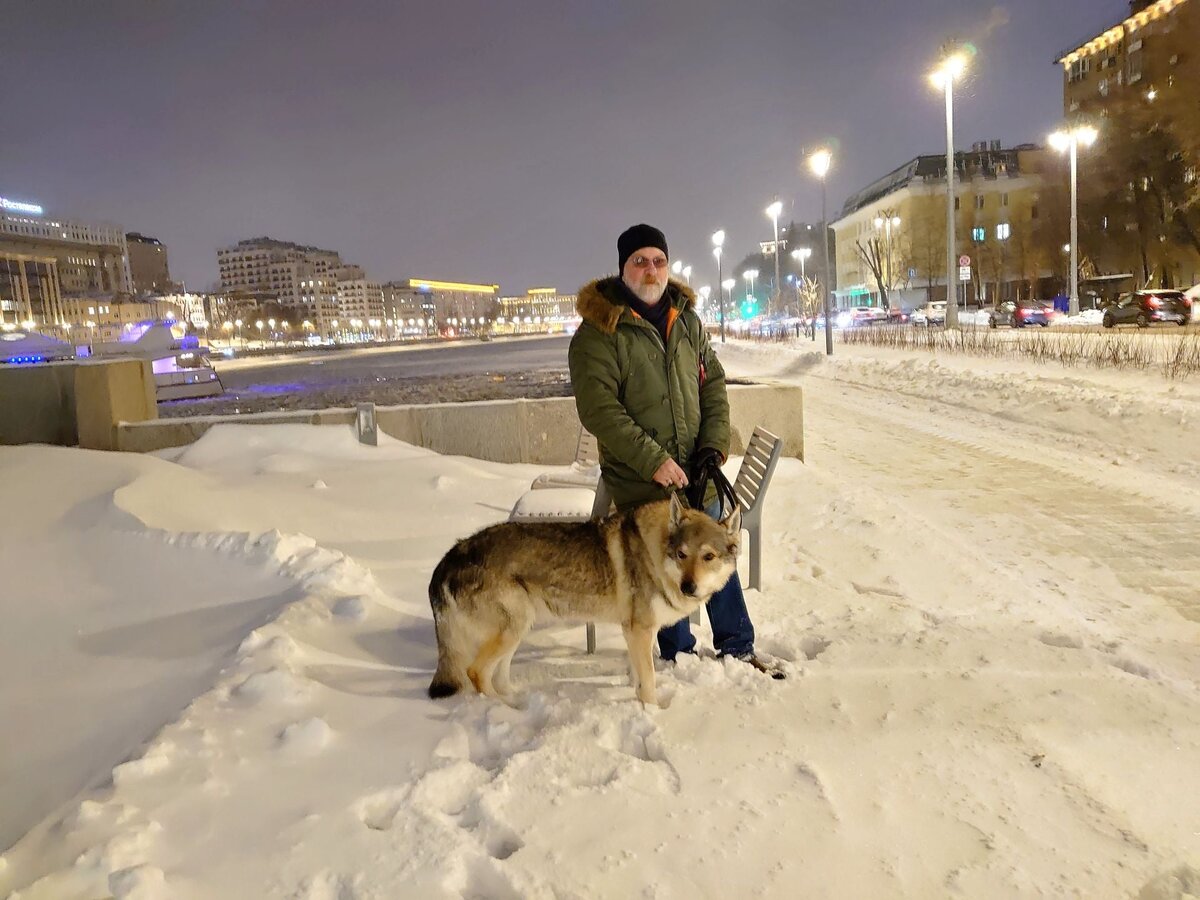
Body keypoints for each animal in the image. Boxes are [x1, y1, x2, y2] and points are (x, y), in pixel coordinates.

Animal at [427, 494, 734, 710]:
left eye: (708, 556)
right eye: (682, 555)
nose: (688, 587)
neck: (654, 553)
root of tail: (448, 558)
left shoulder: (632, 631)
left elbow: (638, 675)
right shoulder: (640, 630)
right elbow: (648, 679)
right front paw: (653, 713)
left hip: (517, 629)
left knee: (498, 677)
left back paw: (521, 701)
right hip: (511, 629)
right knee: (476, 673)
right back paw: (509, 711)